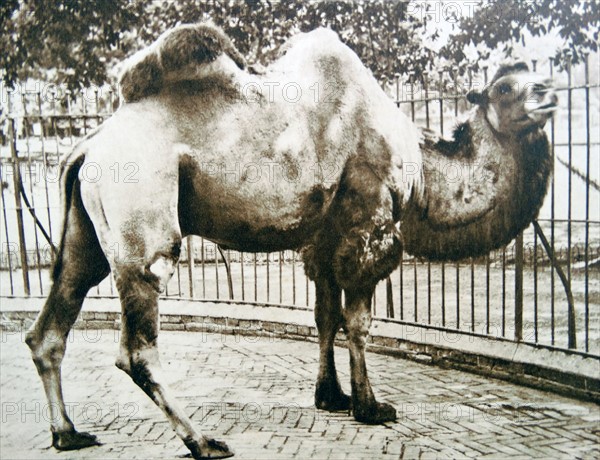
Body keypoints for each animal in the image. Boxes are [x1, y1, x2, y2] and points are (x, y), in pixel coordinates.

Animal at [24, 23, 556, 458]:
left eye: (533, 73)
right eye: (504, 87)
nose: (548, 91)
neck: (423, 170)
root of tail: (87, 145)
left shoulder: (323, 237)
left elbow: (325, 317)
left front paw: (332, 397)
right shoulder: (369, 220)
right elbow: (359, 322)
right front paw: (371, 406)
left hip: (86, 235)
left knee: (52, 319)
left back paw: (67, 433)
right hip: (142, 219)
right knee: (136, 344)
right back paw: (203, 441)